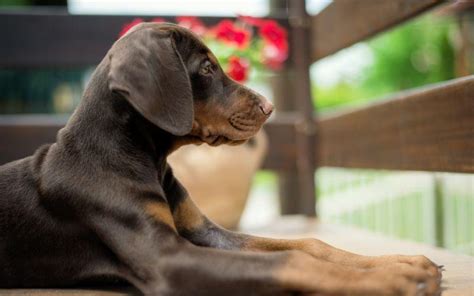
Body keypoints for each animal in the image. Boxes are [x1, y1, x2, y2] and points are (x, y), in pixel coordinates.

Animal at [0, 23, 442, 296]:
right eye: (207, 68)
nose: (269, 107)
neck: (143, 156)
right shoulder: (166, 258)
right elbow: (293, 261)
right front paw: (399, 278)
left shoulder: (207, 233)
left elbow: (307, 243)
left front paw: (398, 262)